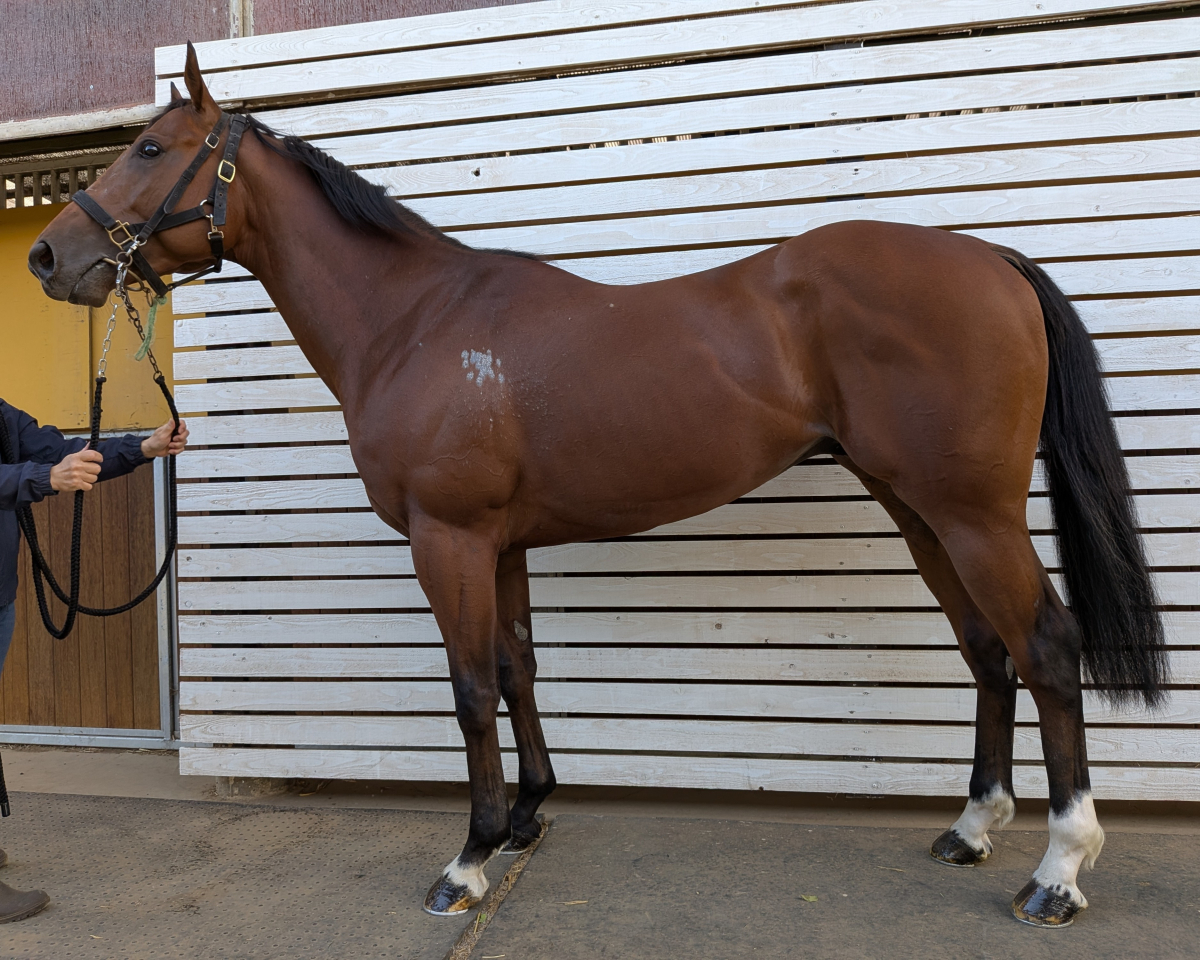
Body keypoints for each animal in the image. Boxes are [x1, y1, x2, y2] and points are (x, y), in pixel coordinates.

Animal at [29, 45, 1167, 927]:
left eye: (148, 149)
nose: (48, 255)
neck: (416, 322)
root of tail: (989, 257)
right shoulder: (503, 544)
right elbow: (519, 669)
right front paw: (528, 816)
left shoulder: (449, 539)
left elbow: (470, 688)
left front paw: (468, 859)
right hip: (919, 507)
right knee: (987, 651)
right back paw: (970, 829)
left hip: (972, 513)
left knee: (1045, 647)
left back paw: (1057, 873)